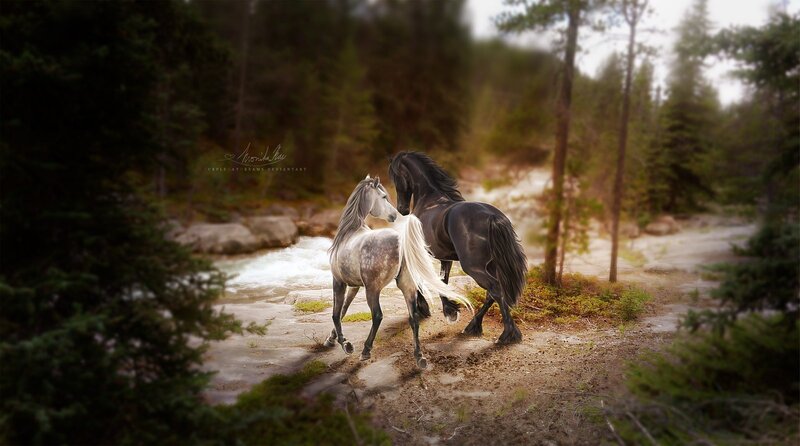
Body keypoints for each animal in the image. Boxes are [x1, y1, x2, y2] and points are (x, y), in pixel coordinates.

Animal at [325, 175, 472, 368]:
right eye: (383, 197)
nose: (394, 215)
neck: (350, 233)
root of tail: (402, 243)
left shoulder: (339, 282)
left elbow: (336, 314)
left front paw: (346, 345)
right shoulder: (354, 286)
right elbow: (343, 311)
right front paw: (330, 339)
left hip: (373, 289)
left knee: (377, 316)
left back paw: (366, 351)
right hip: (406, 285)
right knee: (413, 317)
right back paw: (419, 357)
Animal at [388, 152, 528, 344]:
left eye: (395, 177)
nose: (401, 209)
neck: (429, 200)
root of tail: (492, 217)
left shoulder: (421, 253)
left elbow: (423, 278)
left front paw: (427, 308)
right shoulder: (444, 257)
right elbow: (442, 281)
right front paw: (450, 310)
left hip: (473, 267)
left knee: (495, 289)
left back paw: (508, 334)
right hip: (491, 265)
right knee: (491, 293)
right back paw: (473, 326)